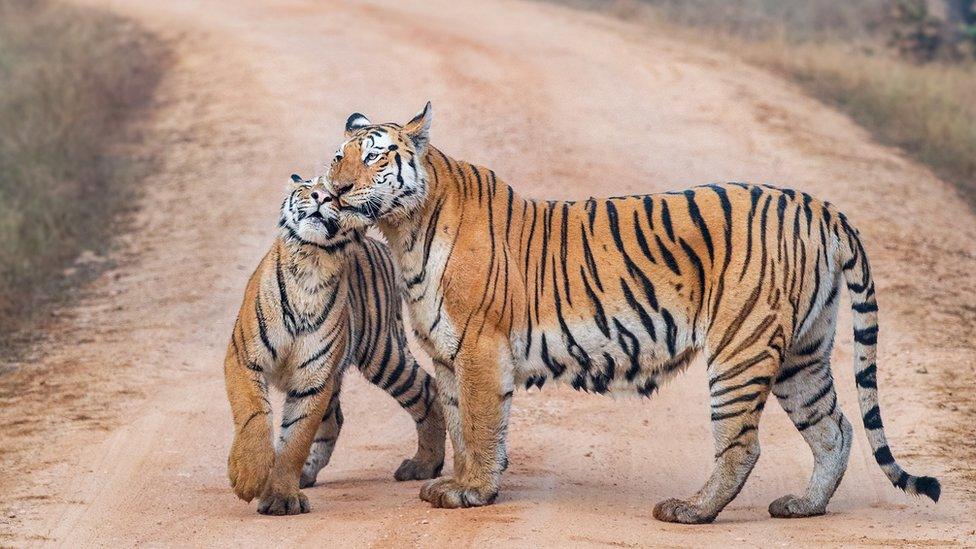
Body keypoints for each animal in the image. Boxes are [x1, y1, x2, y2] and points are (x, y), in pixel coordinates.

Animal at [224, 174, 446, 512]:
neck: (311, 264)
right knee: (335, 421)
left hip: (382, 354)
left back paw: (423, 465)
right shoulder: (244, 357)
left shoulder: (313, 379)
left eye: (335, 193)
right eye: (308, 186)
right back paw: (307, 474)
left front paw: (281, 497)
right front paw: (250, 476)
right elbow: (254, 414)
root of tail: (379, 246)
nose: (321, 197)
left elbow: (296, 439)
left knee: (427, 388)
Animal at [324, 103, 940, 524]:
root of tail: (817, 204)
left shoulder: (479, 348)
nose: (335, 189)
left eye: (374, 156)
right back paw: (803, 505)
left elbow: (478, 425)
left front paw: (471, 490)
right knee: (835, 427)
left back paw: (691, 510)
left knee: (743, 443)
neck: (404, 230)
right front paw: (460, 483)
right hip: (802, 352)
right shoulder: (450, 354)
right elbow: (459, 421)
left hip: (741, 348)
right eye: (338, 156)